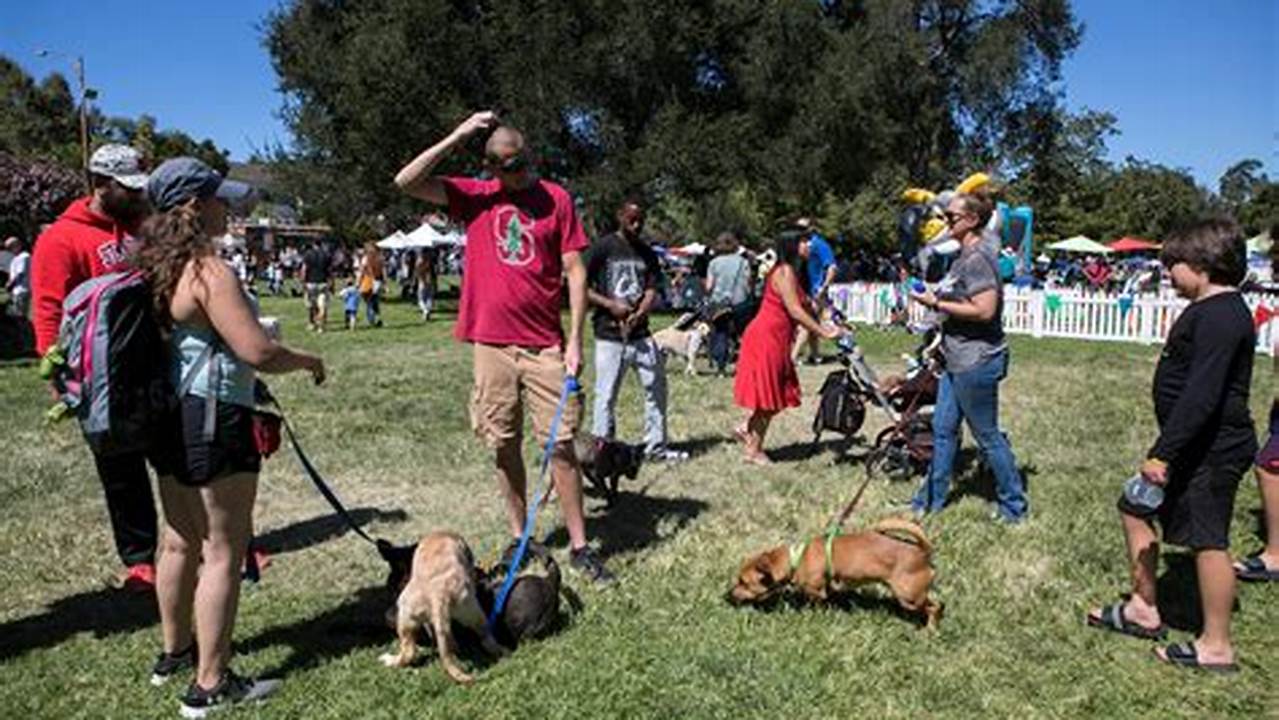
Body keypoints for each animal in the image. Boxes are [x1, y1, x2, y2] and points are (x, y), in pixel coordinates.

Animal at [376, 532, 506, 685]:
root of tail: (437, 594)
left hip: (405, 618)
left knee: (409, 651)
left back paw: (390, 660)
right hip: (472, 612)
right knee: (484, 637)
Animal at [731, 516, 941, 629]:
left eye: (743, 582)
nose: (728, 595)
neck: (796, 557)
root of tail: (923, 552)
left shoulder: (816, 591)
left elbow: (816, 603)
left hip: (908, 596)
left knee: (935, 607)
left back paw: (929, 629)